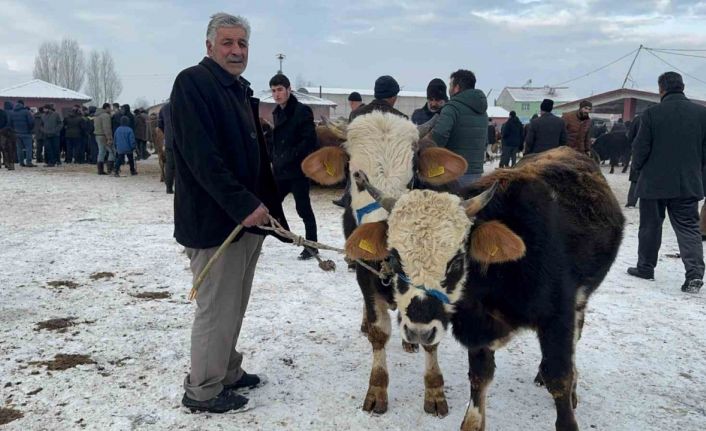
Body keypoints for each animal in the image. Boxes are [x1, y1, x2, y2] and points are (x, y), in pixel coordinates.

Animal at [300, 110, 464, 416]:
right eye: (355, 175)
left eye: (413, 176)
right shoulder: (365, 272)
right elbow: (378, 332)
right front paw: (377, 390)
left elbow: (431, 336)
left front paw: (435, 392)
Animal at [350, 147, 620, 430]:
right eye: (393, 258)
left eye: (457, 260)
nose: (419, 331)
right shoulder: (477, 325)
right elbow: (480, 376)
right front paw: (472, 422)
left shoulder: (558, 317)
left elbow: (559, 377)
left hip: (579, 302)